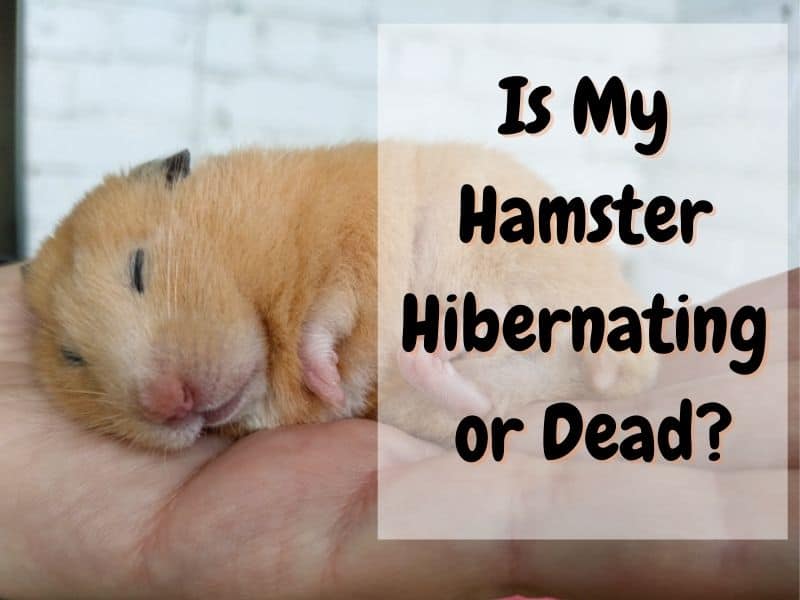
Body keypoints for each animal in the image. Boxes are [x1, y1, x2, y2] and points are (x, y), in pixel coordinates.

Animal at [23, 142, 656, 450]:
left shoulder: (356, 237)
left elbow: (329, 311)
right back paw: (426, 359)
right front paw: (330, 386)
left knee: (599, 344)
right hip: (455, 396)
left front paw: (323, 378)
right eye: (72, 358)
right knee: (479, 402)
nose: (170, 404)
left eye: (139, 267)